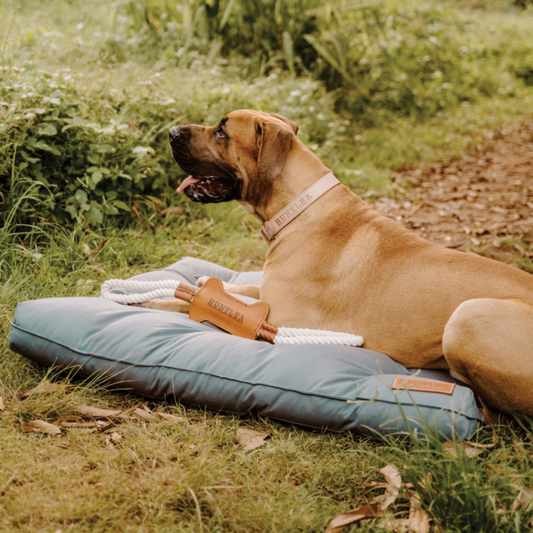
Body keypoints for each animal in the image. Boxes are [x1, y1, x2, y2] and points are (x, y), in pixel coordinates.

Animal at [141, 109, 532, 420]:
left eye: (222, 132)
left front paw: (155, 301)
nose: (172, 131)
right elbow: (239, 287)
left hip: (466, 316)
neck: (298, 207)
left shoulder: (274, 320)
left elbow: (202, 303)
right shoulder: (267, 291)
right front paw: (202, 280)